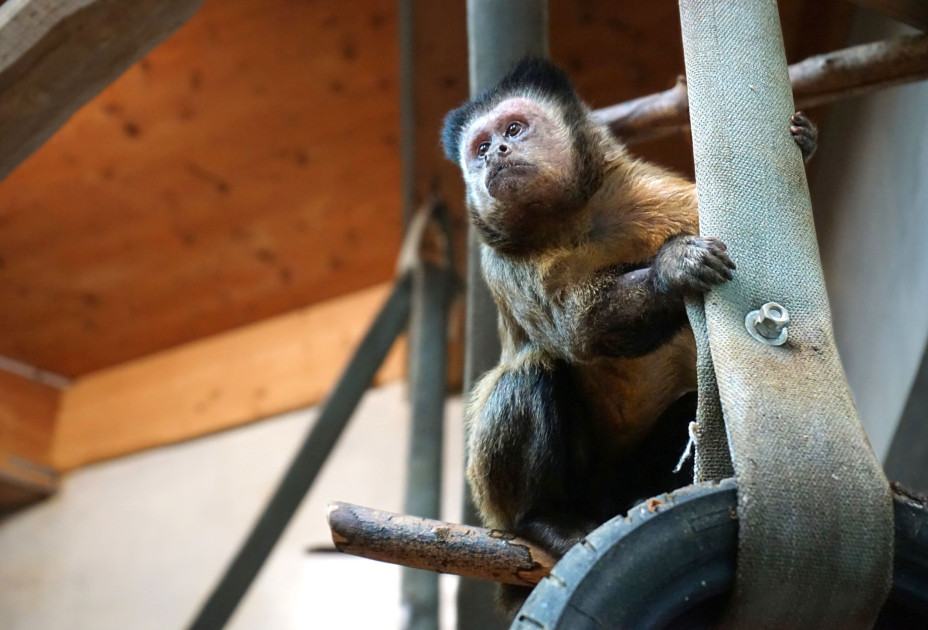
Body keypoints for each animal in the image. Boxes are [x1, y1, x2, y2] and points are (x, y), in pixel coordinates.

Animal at [441, 58, 817, 614]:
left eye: (513, 130)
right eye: (480, 147)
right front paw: (672, 270)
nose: (496, 156)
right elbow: (577, 330)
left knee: (687, 407)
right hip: (516, 501)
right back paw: (543, 519)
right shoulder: (502, 260)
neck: (568, 219)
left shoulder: (646, 192)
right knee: (533, 368)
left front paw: (804, 148)